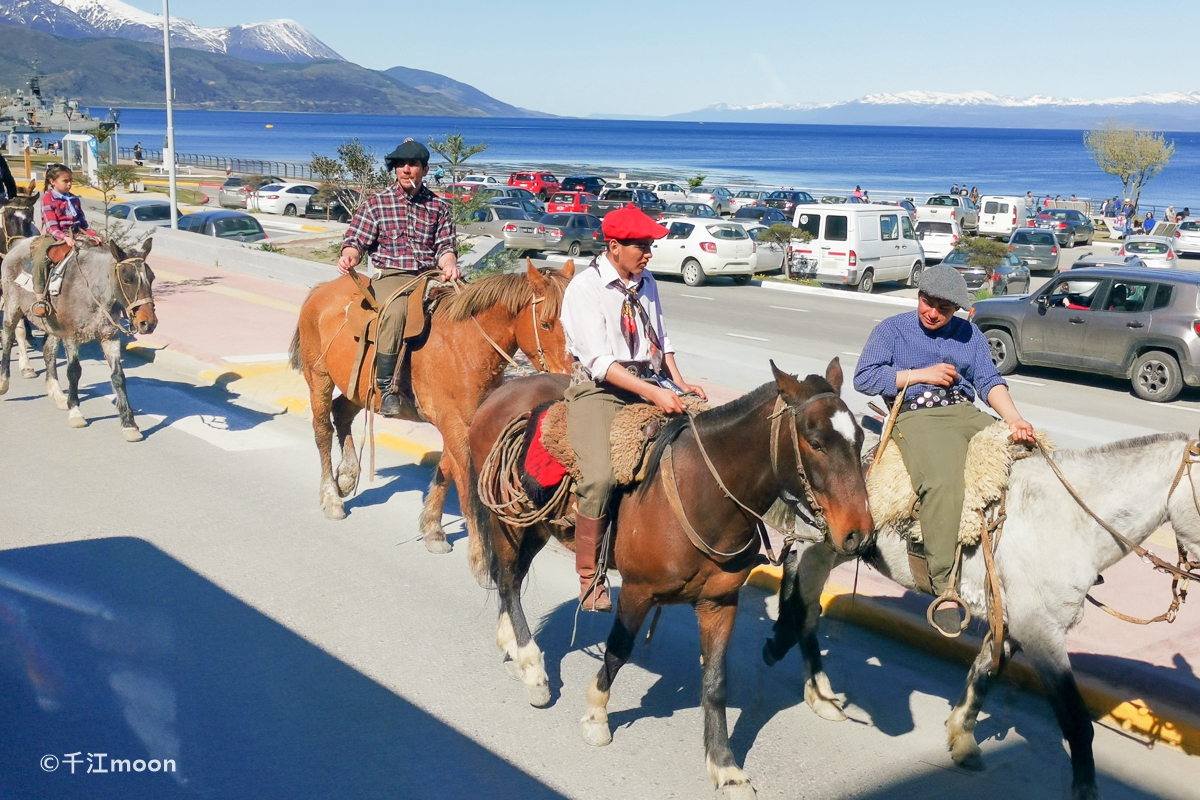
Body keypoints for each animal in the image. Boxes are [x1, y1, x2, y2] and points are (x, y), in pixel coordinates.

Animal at [0, 236, 157, 443]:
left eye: (152, 277)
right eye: (127, 279)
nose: (148, 323)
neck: (93, 290)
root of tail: (18, 245)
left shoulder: (109, 336)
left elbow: (118, 376)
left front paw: (129, 424)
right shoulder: (71, 336)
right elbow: (74, 372)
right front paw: (76, 413)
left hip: (51, 325)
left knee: (48, 349)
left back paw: (58, 395)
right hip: (12, 307)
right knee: (8, 339)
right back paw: (5, 382)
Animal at [288, 260, 573, 561]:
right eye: (545, 323)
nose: (567, 378)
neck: (467, 345)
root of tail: (321, 290)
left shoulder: (461, 423)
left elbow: (445, 472)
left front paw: (433, 529)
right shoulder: (455, 424)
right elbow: (466, 486)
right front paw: (478, 550)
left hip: (359, 388)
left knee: (341, 412)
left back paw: (347, 475)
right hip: (319, 377)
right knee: (322, 431)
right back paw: (331, 497)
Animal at [465, 359, 873, 796]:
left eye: (860, 438)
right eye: (815, 442)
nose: (859, 534)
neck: (704, 495)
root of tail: (503, 390)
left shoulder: (720, 603)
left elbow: (716, 682)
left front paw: (725, 766)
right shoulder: (637, 592)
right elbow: (617, 651)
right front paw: (596, 715)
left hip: (537, 527)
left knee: (511, 579)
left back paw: (511, 644)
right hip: (508, 520)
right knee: (509, 581)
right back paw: (532, 665)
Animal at [763, 434, 1200, 796]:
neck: (1068, 521)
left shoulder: (1011, 623)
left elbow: (984, 675)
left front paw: (962, 738)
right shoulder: (1041, 630)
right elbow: (1075, 719)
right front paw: (1085, 789)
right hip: (821, 548)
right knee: (806, 611)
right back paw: (817, 691)